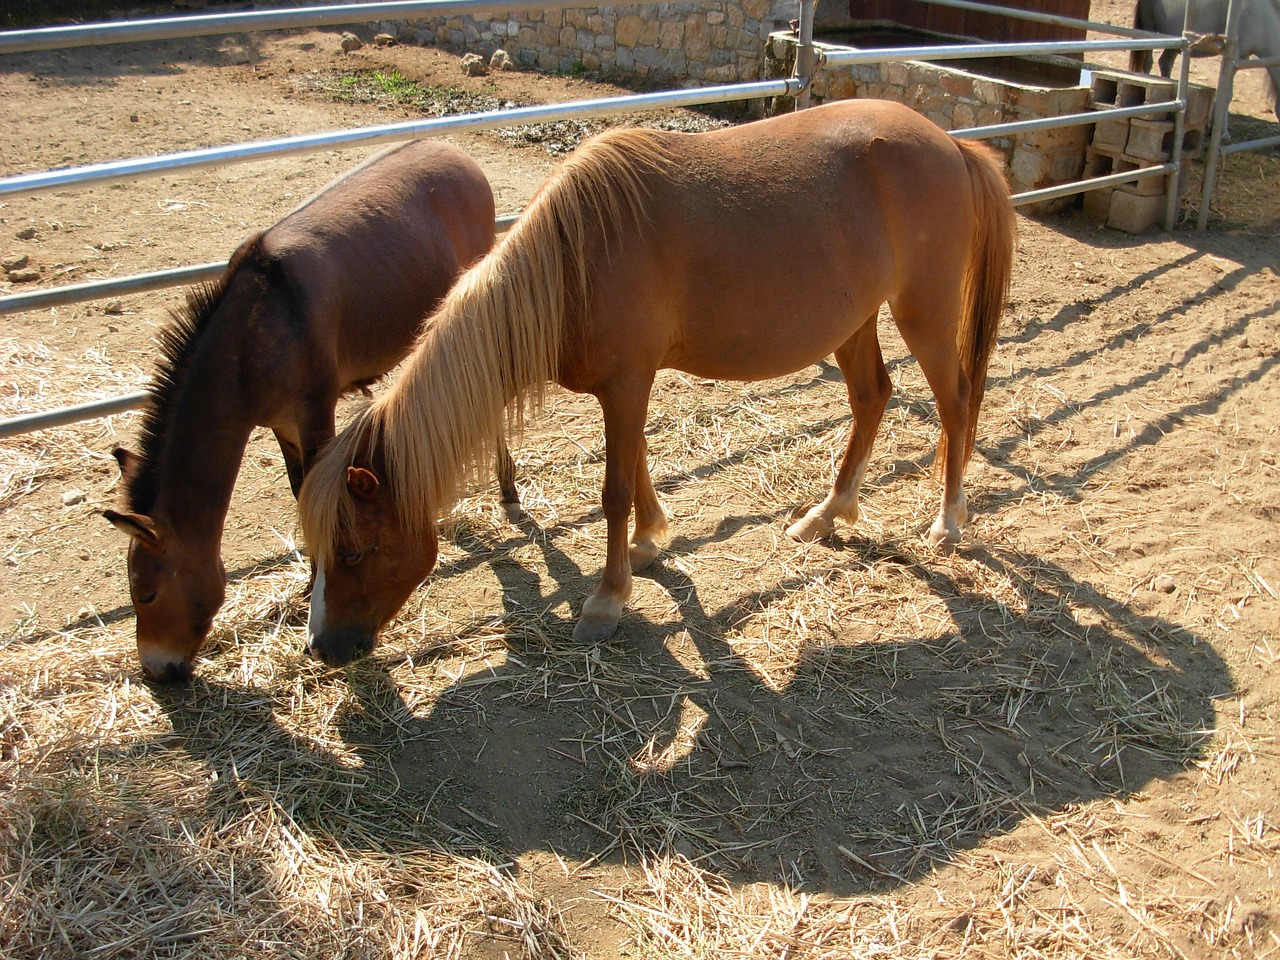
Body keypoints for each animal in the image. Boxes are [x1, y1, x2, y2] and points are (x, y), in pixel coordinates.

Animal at [106, 140, 509, 686]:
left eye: (145, 594)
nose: (158, 672)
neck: (257, 329)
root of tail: (449, 147)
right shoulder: (281, 424)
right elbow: (302, 491)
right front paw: (308, 585)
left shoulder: (315, 413)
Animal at [294, 99, 1013, 670]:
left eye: (354, 551)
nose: (323, 647)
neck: (574, 262)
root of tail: (951, 144)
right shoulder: (627, 387)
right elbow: (637, 464)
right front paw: (648, 543)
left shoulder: (626, 383)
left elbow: (613, 490)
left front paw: (607, 600)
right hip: (855, 322)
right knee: (871, 398)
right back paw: (826, 515)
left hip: (924, 311)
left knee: (955, 404)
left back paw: (948, 524)